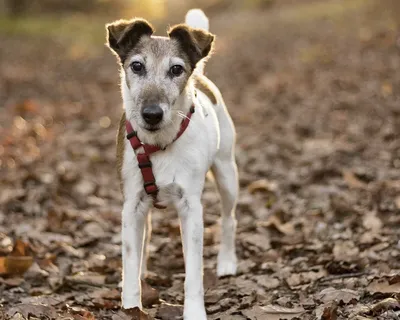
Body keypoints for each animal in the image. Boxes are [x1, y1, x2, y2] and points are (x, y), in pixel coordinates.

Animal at [105, 8, 238, 318]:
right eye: (137, 66)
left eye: (176, 70)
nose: (152, 113)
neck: (159, 144)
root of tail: (200, 75)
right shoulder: (132, 204)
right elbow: (131, 258)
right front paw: (131, 304)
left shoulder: (191, 207)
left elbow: (194, 273)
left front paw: (194, 312)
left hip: (227, 173)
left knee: (229, 218)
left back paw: (227, 262)